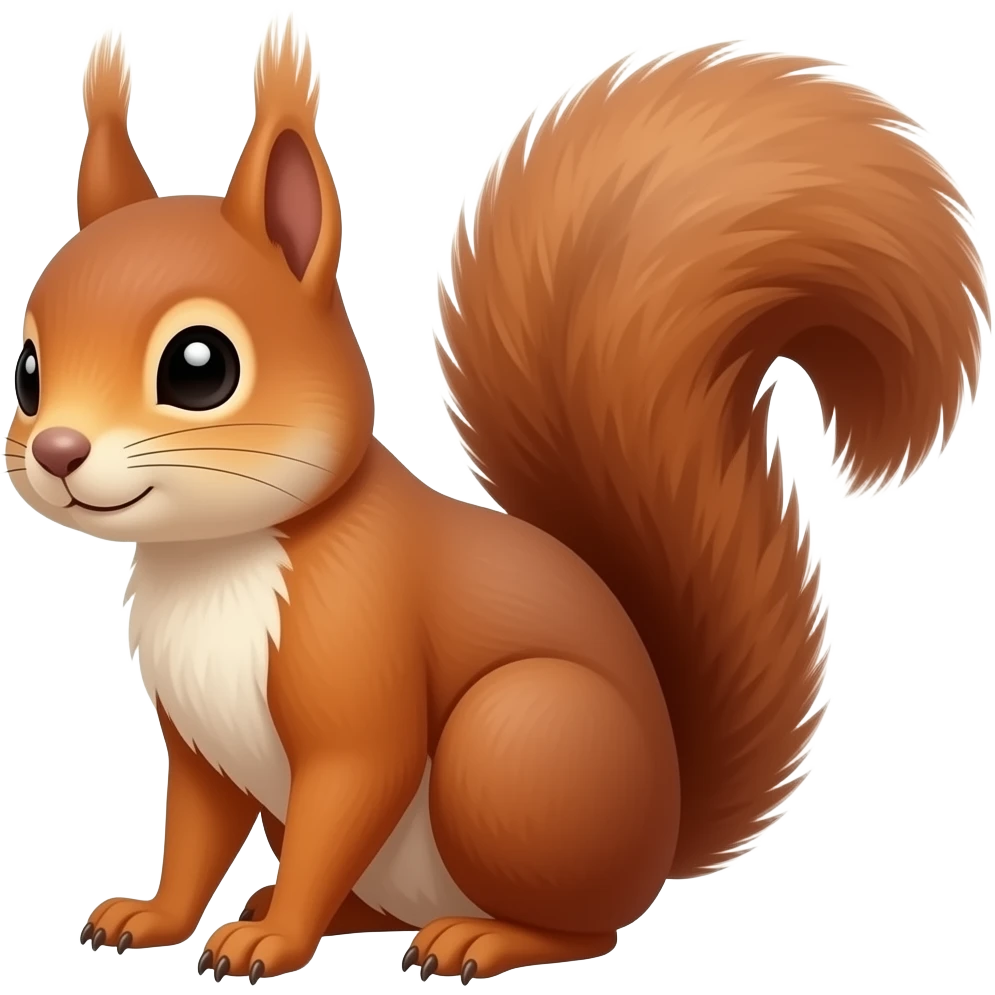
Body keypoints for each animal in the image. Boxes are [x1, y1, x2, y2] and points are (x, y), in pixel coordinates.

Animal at [8, 14, 987, 987]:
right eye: (26, 371)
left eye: (199, 366)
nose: (57, 452)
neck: (215, 555)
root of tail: (661, 836)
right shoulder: (199, 742)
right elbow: (195, 834)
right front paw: (156, 916)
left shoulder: (360, 659)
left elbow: (351, 784)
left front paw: (273, 944)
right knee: (379, 899)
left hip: (515, 744)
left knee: (585, 926)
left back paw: (474, 938)